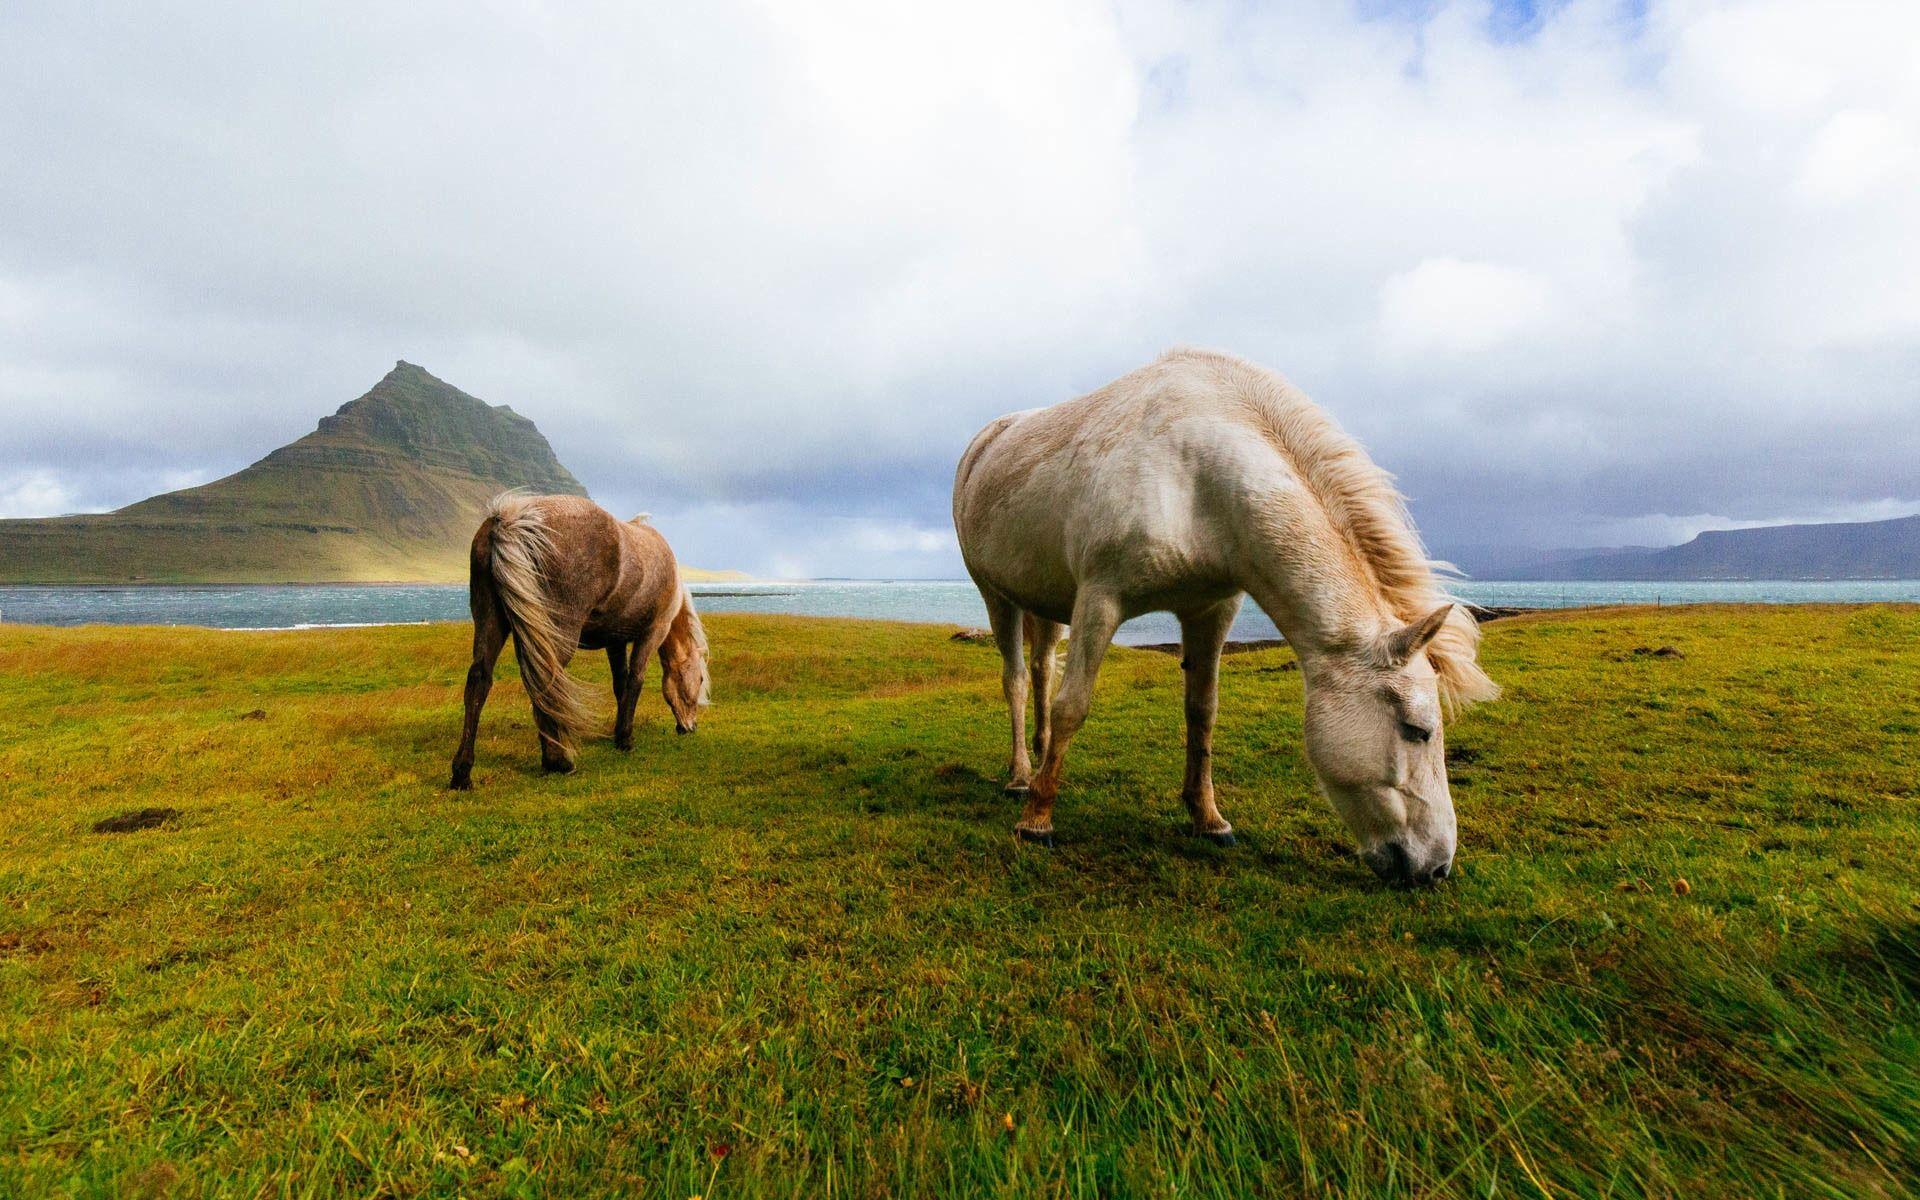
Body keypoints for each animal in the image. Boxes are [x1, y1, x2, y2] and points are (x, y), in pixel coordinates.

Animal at [449, 493, 709, 790]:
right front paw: (626, 739)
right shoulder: (652, 632)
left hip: (491, 621)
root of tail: (512, 518)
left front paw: (617, 734)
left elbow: (620, 684)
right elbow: (635, 681)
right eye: (700, 679)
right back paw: (558, 761)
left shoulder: (615, 641)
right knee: (546, 683)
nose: (690, 727)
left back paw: (462, 773)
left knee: (479, 681)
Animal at [952, 348, 1497, 885]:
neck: (1197, 479)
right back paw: (1022, 777)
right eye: (1417, 730)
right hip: (996, 595)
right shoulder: (1100, 600)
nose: (1437, 867)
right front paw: (1037, 821)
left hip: (1047, 604)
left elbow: (1203, 713)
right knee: (1018, 680)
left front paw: (1208, 818)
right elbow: (1074, 706)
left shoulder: (1211, 610)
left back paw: (1040, 757)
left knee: (1043, 669)